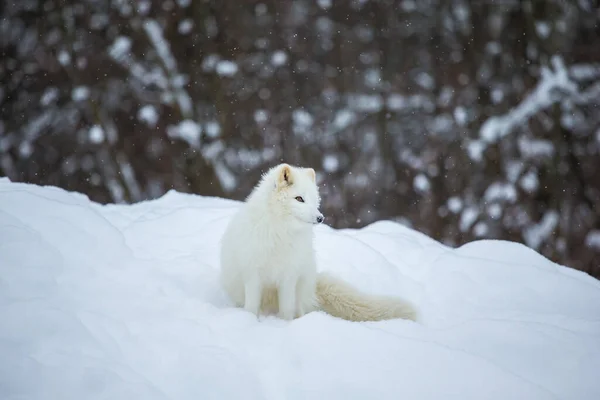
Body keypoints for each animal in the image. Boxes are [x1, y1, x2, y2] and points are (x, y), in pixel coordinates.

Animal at [217, 162, 418, 322]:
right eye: (299, 198)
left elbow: (287, 309)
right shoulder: (253, 274)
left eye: (315, 201)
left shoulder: (289, 277)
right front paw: (250, 321)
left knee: (299, 308)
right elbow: (252, 306)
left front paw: (286, 325)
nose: (320, 218)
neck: (281, 232)